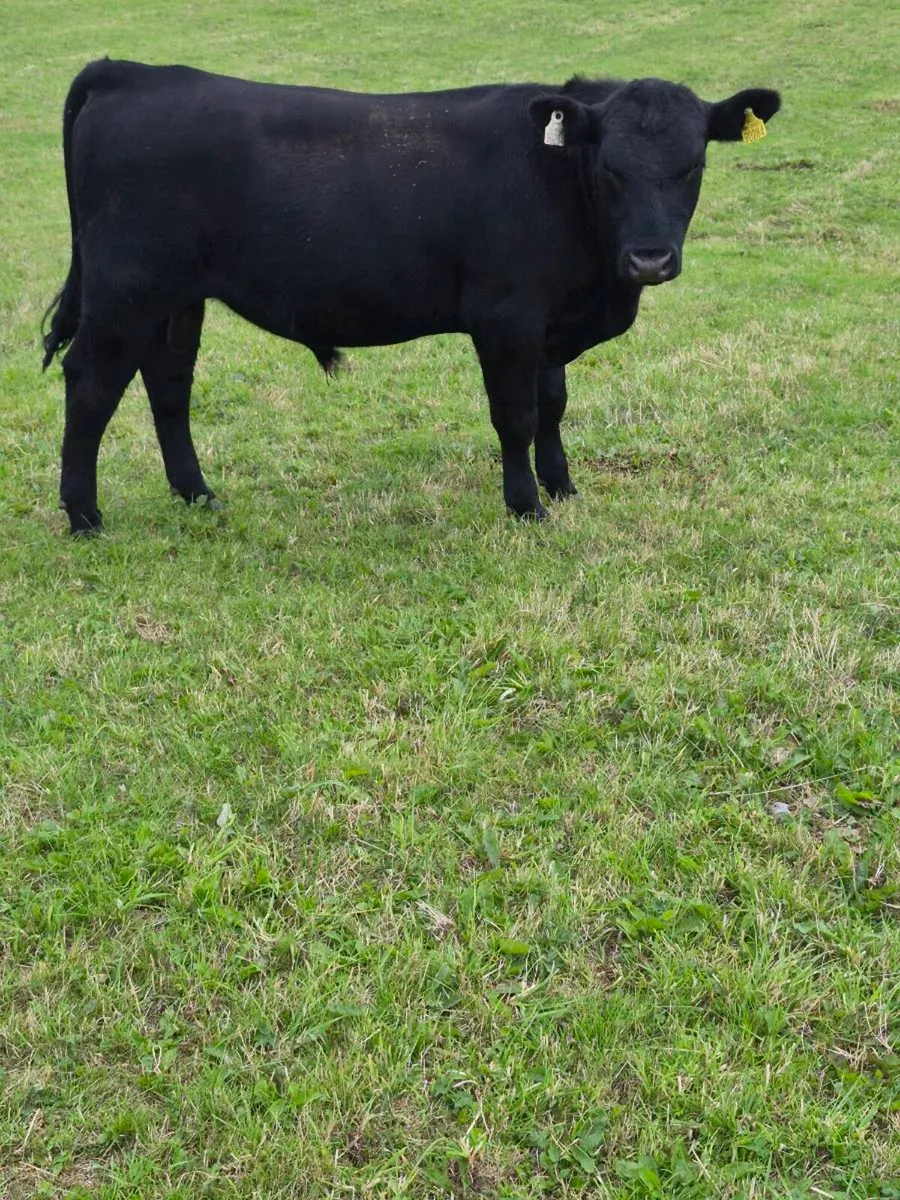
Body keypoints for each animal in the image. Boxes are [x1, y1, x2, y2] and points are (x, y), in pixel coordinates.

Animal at [42, 59, 780, 534]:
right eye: (611, 167)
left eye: (693, 164)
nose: (649, 259)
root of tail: (133, 71)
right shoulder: (507, 318)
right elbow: (515, 416)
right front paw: (527, 507)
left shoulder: (548, 325)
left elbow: (552, 406)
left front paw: (563, 486)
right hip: (126, 289)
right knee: (91, 383)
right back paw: (84, 516)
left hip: (175, 298)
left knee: (168, 384)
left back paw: (197, 495)